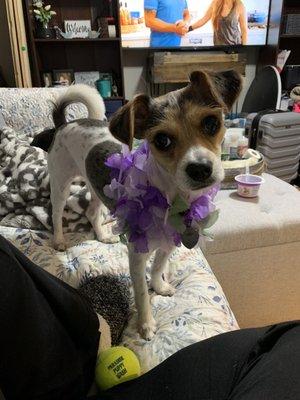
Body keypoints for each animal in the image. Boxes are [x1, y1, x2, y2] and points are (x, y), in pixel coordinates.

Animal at [45, 70, 241, 340]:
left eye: (211, 123)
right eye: (162, 140)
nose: (200, 169)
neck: (171, 197)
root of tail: (66, 123)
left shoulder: (170, 241)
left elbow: (158, 267)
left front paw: (159, 286)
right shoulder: (136, 256)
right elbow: (140, 294)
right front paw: (146, 324)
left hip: (97, 187)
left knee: (93, 212)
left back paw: (103, 235)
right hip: (61, 183)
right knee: (56, 214)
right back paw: (59, 240)